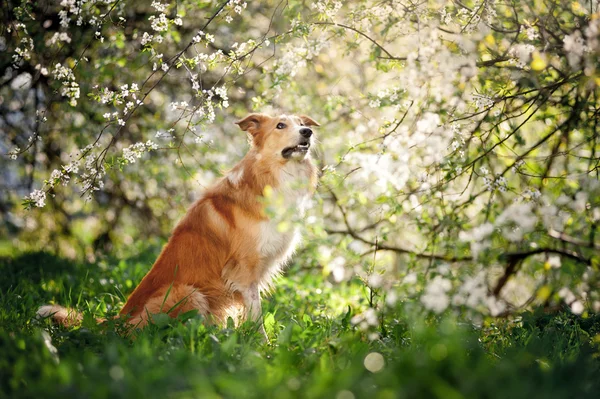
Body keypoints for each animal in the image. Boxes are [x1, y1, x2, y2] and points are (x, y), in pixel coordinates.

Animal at [37, 113, 318, 338]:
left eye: (301, 123)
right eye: (280, 125)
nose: (308, 132)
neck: (273, 175)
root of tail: (118, 319)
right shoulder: (245, 271)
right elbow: (256, 317)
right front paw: (262, 347)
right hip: (187, 293)